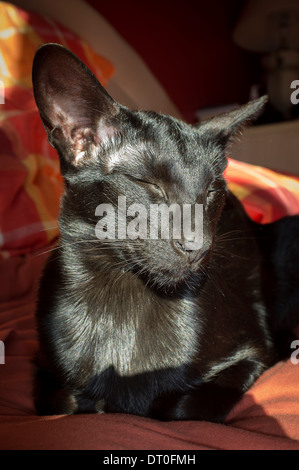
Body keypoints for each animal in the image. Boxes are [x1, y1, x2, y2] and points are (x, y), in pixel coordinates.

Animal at [31, 42, 299, 420]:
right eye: (149, 183)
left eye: (213, 191)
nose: (198, 247)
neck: (122, 302)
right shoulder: (42, 370)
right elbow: (67, 402)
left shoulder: (253, 353)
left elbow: (179, 408)